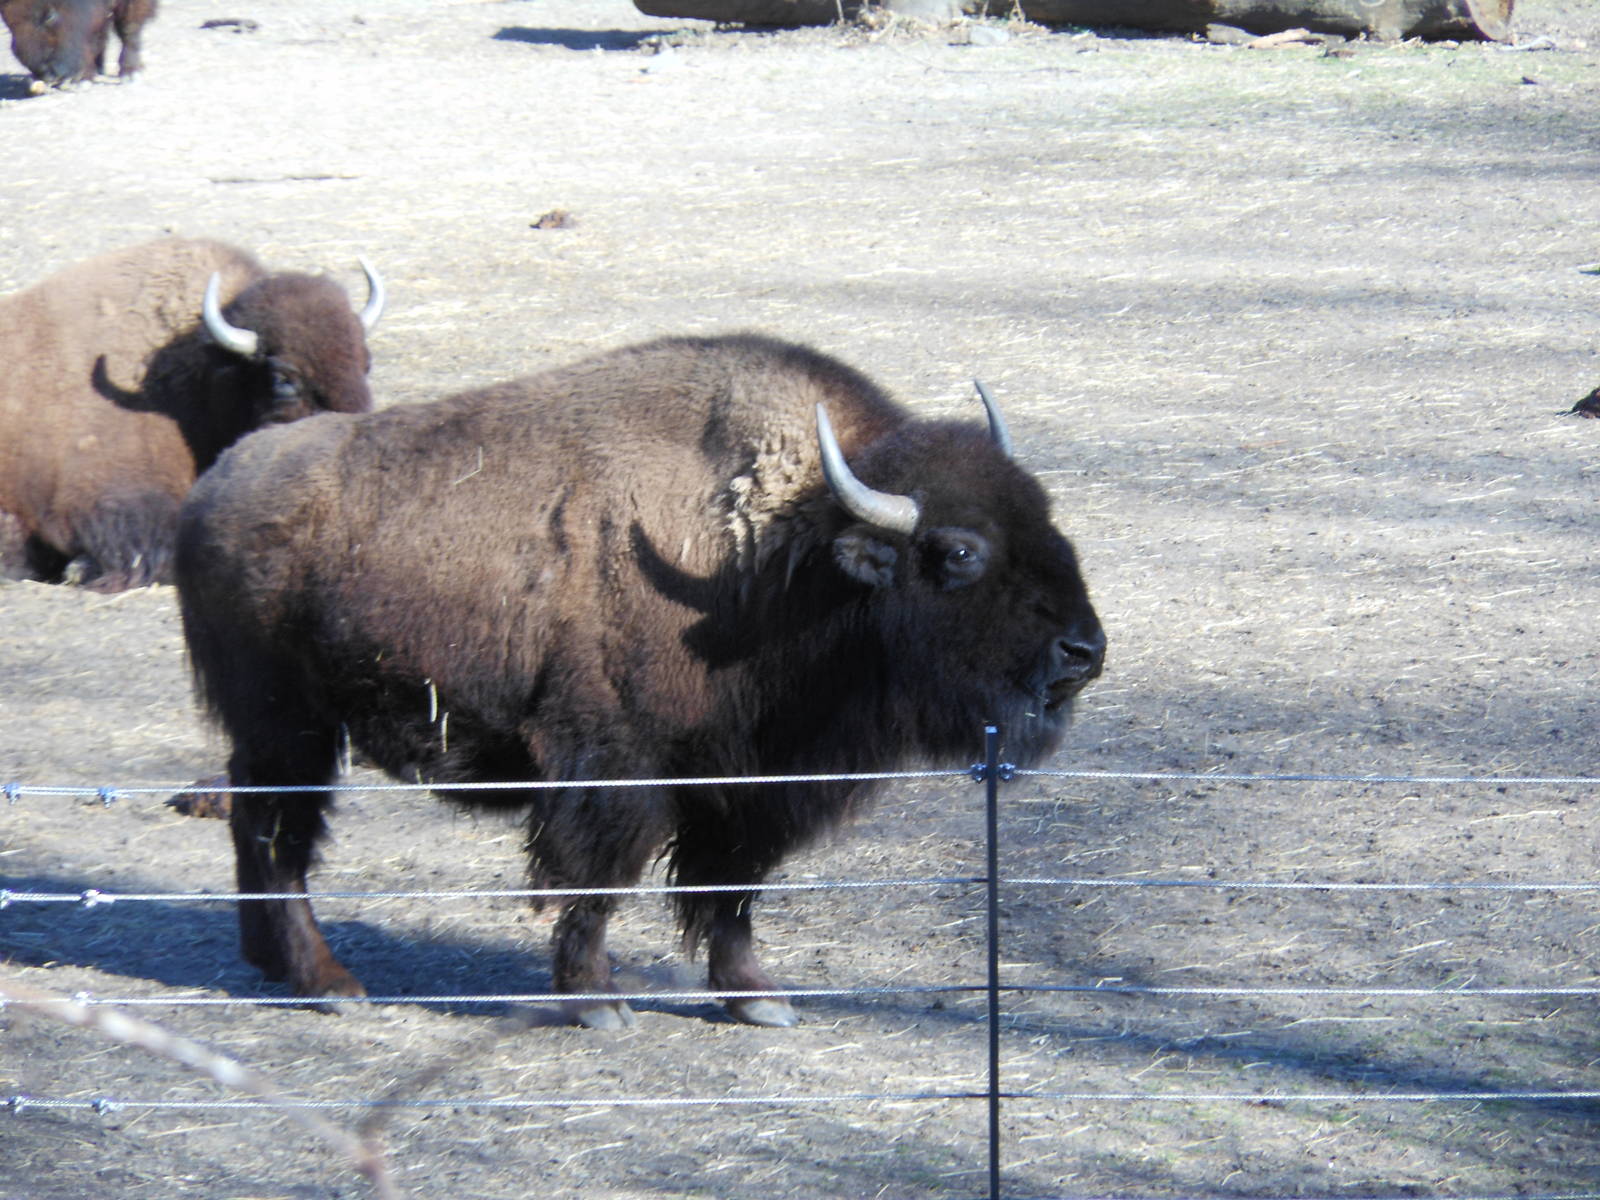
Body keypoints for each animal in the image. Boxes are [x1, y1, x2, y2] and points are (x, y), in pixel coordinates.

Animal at [1, 0, 157, 88]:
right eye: (7, 21)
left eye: (49, 16)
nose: (46, 75)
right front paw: (84, 78)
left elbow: (129, 27)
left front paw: (131, 73)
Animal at [176, 333, 1105, 1029]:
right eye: (959, 551)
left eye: (1048, 519)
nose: (1084, 652)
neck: (783, 549)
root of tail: (214, 485)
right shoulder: (616, 769)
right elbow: (597, 879)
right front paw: (597, 1002)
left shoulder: (750, 788)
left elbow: (731, 890)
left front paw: (756, 999)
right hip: (289, 725)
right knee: (278, 836)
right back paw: (329, 984)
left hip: (280, 730)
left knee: (254, 824)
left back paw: (269, 961)